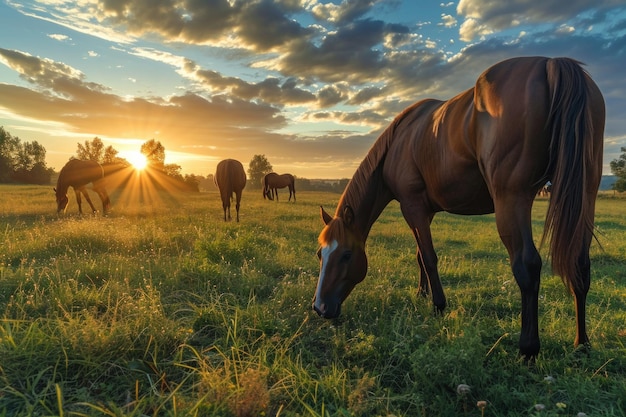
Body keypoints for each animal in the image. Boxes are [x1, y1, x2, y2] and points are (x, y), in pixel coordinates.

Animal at [312, 56, 604, 358]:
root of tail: (551, 63)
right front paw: (422, 293)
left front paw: (438, 305)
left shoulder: (412, 207)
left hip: (512, 200)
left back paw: (528, 349)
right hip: (585, 197)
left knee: (527, 265)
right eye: (320, 254)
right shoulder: (424, 213)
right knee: (580, 263)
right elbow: (420, 256)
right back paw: (582, 342)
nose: (320, 307)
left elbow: (429, 257)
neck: (398, 142)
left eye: (346, 255)